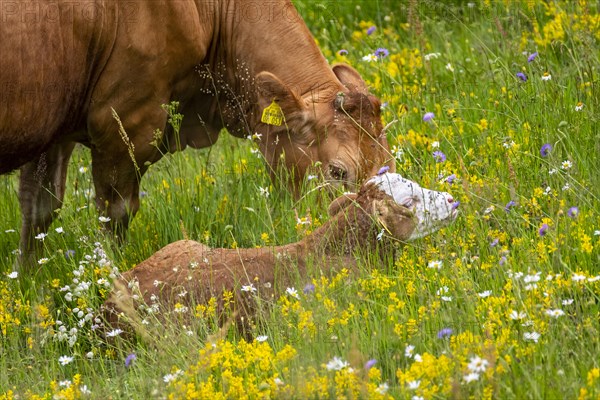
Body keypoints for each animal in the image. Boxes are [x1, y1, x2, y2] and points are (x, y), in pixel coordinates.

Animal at [1, 0, 394, 266]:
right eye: (338, 172)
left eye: (388, 164)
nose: (376, 237)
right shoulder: (126, 120)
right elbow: (115, 213)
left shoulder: (55, 129)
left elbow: (39, 209)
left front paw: (29, 282)